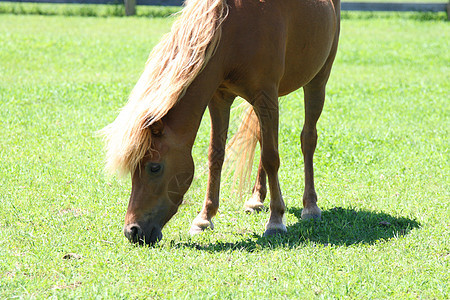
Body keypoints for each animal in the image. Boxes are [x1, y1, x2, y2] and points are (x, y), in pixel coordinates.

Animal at [103, 0, 342, 244]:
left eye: (154, 167)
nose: (132, 231)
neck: (233, 32)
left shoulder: (265, 97)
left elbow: (271, 158)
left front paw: (276, 220)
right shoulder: (220, 98)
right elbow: (216, 155)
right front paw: (204, 218)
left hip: (317, 80)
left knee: (308, 139)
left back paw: (310, 206)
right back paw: (256, 199)